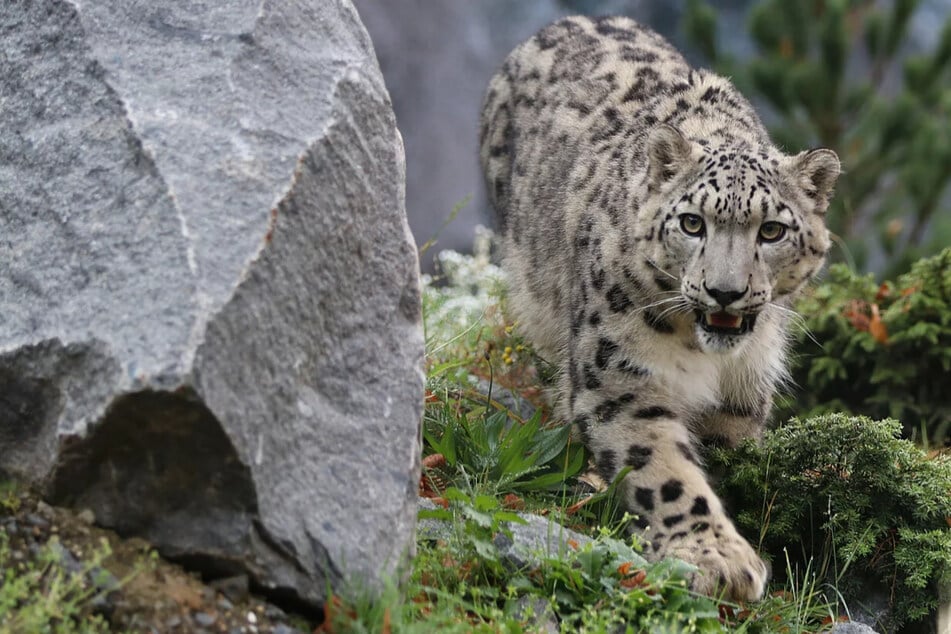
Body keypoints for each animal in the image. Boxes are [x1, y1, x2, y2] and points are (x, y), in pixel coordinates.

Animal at [480, 13, 836, 596]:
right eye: (692, 223)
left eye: (772, 230)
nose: (725, 291)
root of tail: (572, 18)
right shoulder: (619, 376)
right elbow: (665, 469)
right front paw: (718, 559)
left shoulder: (741, 394)